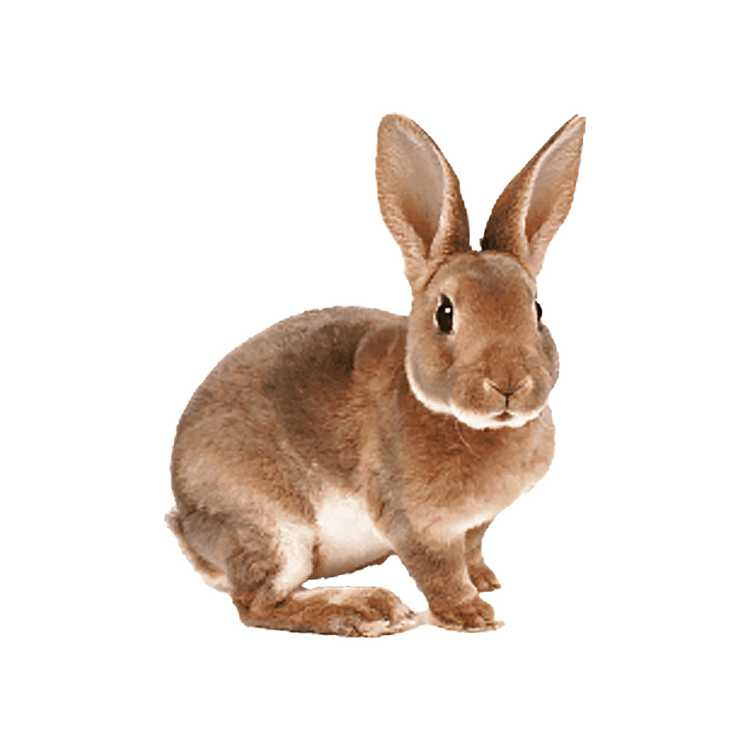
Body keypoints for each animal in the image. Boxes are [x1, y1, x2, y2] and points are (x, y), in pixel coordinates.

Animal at [168, 111, 586, 637]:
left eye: (537, 310)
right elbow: (440, 570)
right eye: (445, 313)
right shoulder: (415, 522)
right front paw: (470, 611)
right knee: (258, 603)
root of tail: (189, 528)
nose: (509, 384)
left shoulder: (474, 525)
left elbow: (469, 554)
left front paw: (486, 582)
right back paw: (366, 608)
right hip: (272, 531)